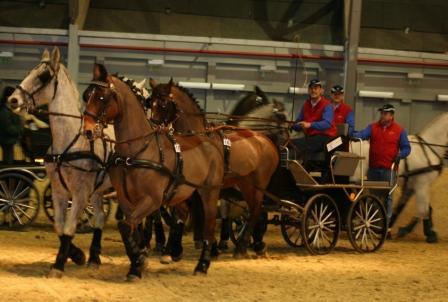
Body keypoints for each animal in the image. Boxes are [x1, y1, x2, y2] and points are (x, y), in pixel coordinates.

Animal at [8, 46, 113, 276]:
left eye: (44, 76)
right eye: (29, 71)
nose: (12, 100)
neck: (71, 141)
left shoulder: (80, 194)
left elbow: (69, 227)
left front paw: (59, 264)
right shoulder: (58, 191)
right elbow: (59, 225)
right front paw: (76, 255)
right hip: (98, 191)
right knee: (100, 218)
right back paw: (94, 257)